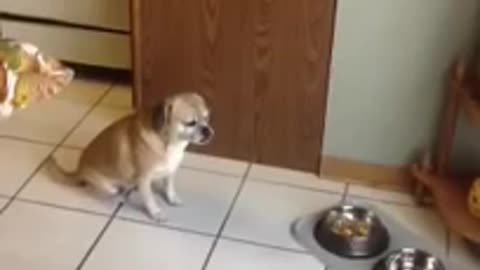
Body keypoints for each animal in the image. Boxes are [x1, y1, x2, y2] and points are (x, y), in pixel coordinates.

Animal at [51, 92, 213, 220]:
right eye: (190, 123)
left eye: (207, 118)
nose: (207, 130)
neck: (168, 142)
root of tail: (78, 170)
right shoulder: (144, 178)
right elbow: (149, 199)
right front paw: (155, 212)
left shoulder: (170, 171)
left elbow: (169, 187)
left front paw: (172, 198)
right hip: (106, 185)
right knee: (111, 191)